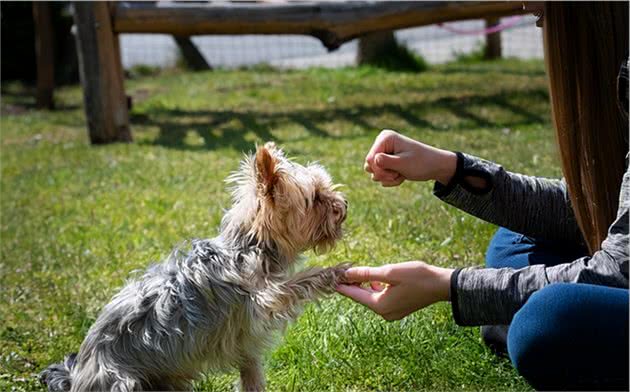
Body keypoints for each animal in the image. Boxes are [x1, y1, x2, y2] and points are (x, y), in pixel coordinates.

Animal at [40, 142, 350, 390]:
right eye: (316, 197)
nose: (344, 204)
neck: (250, 244)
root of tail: (78, 373)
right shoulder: (263, 298)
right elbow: (300, 281)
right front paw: (335, 272)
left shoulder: (246, 343)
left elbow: (251, 374)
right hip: (122, 381)